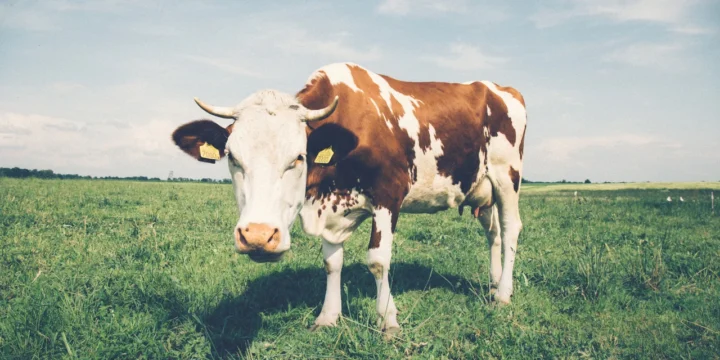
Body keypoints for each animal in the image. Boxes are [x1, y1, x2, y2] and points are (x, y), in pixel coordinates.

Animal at [172, 62, 524, 338]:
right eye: (232, 157)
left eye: (298, 157)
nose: (258, 236)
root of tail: (499, 88)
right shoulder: (326, 209)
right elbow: (332, 262)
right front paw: (328, 316)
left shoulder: (388, 196)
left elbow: (378, 260)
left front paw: (388, 319)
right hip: (482, 189)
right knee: (493, 233)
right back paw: (493, 285)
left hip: (508, 177)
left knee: (510, 229)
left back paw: (504, 294)